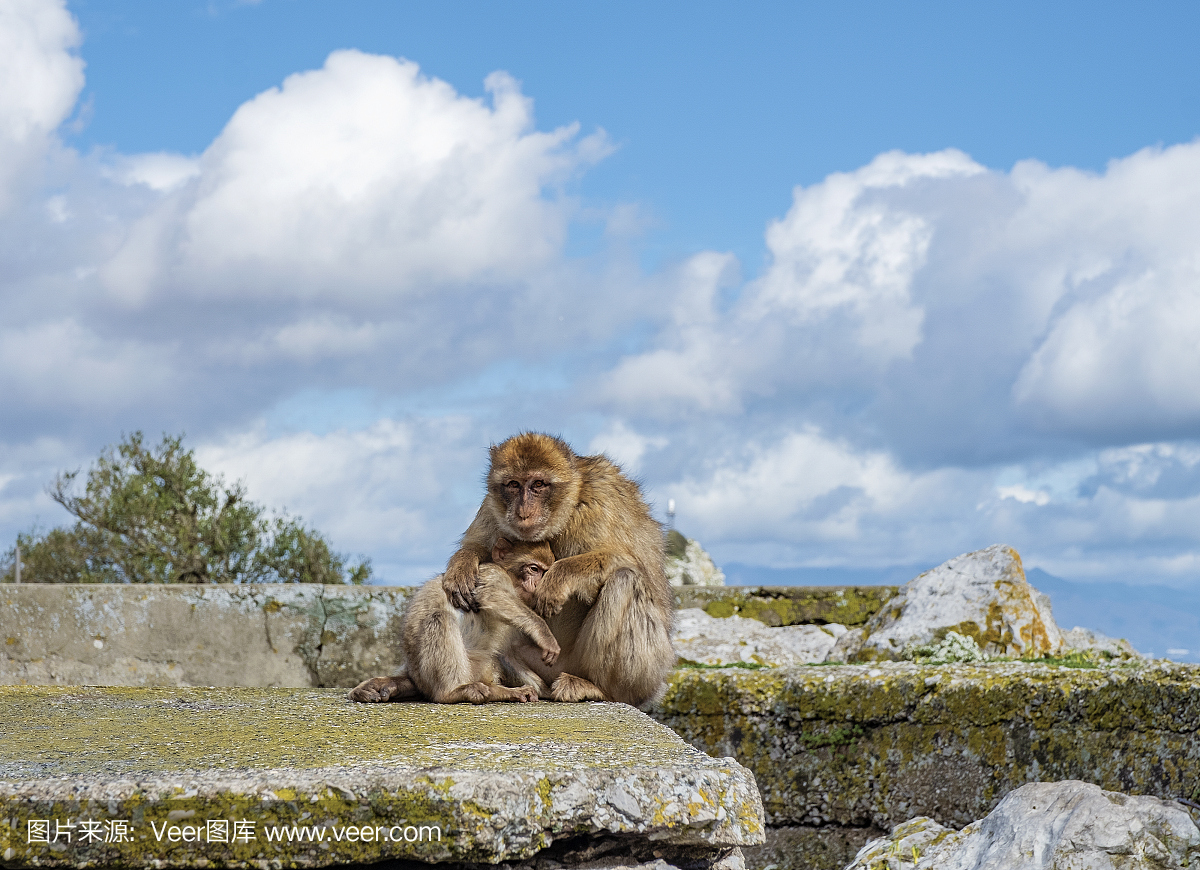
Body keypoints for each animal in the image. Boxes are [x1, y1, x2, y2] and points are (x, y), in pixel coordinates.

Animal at [348, 532, 556, 700]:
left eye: (545, 571)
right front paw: (544, 634)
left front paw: (548, 690)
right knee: (439, 618)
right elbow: (490, 595)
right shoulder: (493, 574)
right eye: (534, 569)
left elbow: (509, 652)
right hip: (433, 675)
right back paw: (453, 692)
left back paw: (501, 691)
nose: (538, 584)